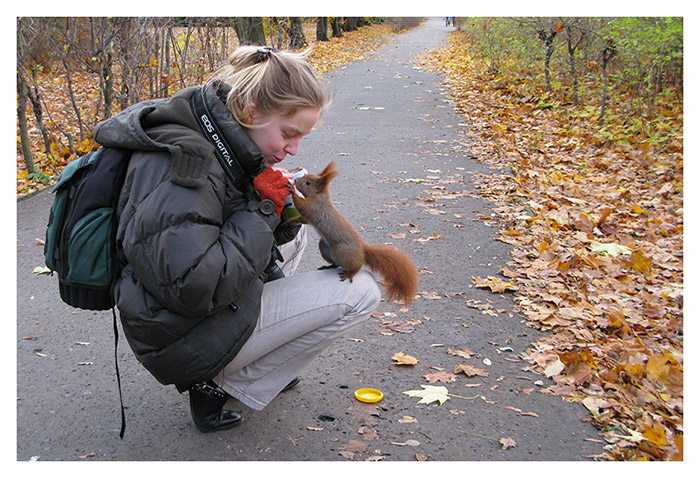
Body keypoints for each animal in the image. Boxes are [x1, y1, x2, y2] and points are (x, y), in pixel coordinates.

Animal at [286, 162, 418, 306]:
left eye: (308, 182)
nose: (296, 180)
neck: (318, 195)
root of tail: (362, 249)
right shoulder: (307, 217)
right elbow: (300, 218)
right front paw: (289, 221)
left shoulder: (314, 207)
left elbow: (301, 205)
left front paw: (292, 190)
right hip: (325, 247)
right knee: (336, 263)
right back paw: (328, 266)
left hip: (341, 252)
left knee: (357, 265)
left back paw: (350, 273)